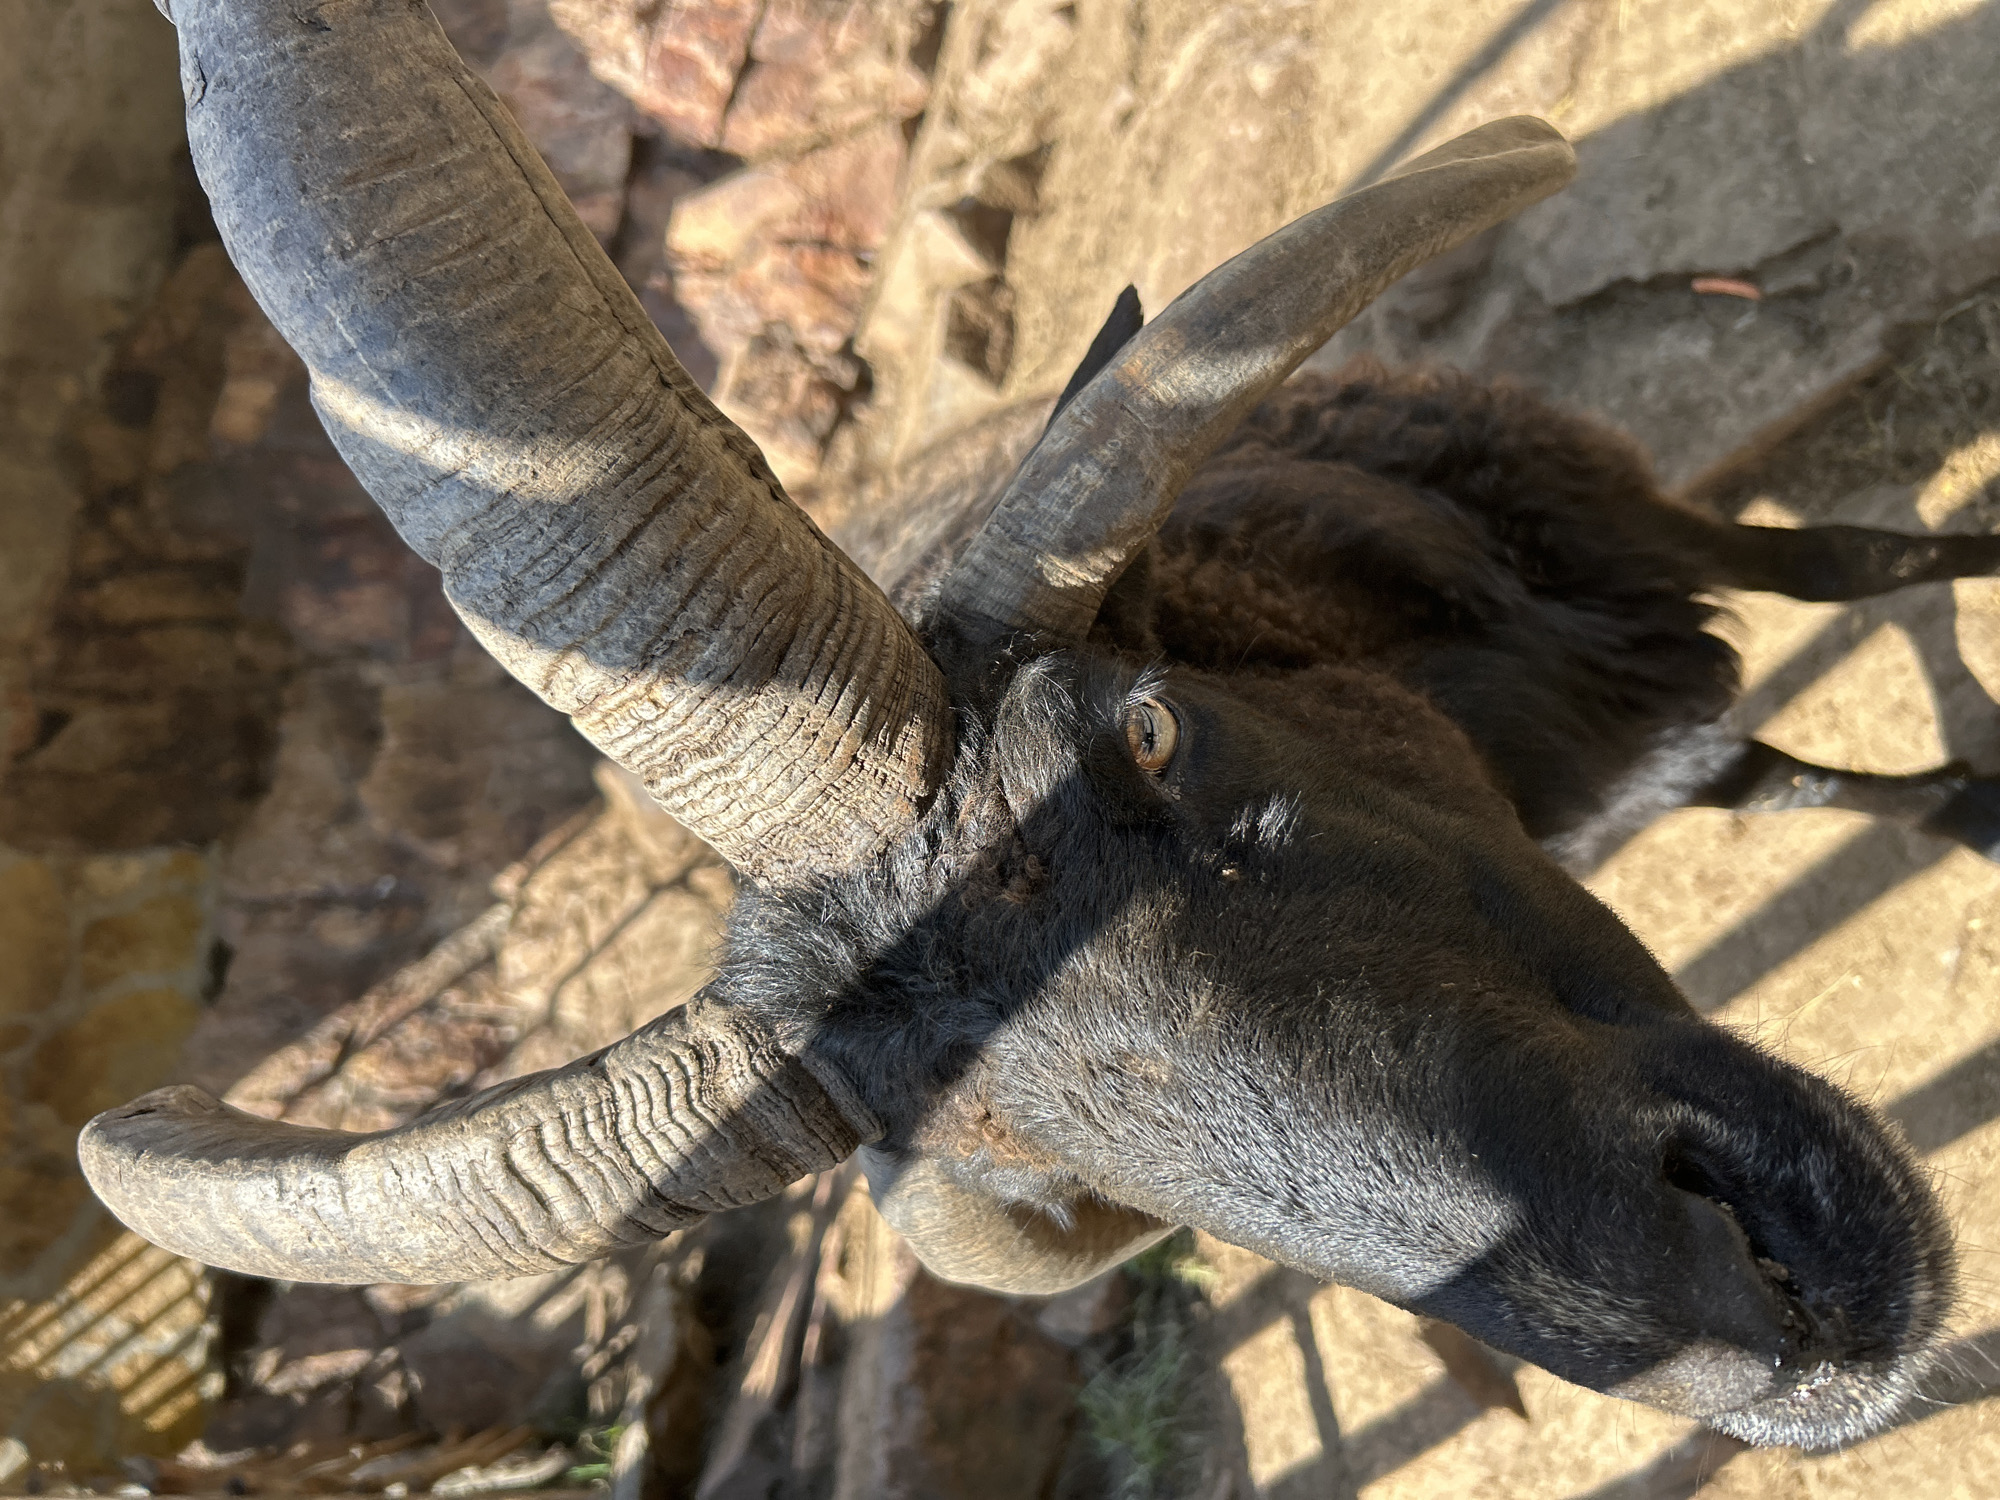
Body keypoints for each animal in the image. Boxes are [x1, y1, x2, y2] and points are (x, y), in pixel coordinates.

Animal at [82, 0, 1984, 1451]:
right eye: (1025, 1153)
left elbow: (1860, 562)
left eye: (1147, 732)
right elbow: (1793, 767)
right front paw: (1971, 806)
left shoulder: (1614, 531)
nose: (1763, 1325)